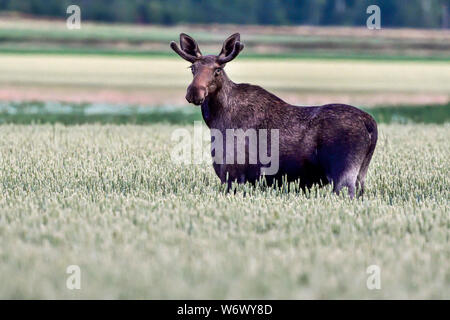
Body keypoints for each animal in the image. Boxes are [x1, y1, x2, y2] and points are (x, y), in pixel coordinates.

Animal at [171, 33, 378, 198]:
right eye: (192, 69)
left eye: (217, 70)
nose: (194, 92)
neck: (215, 121)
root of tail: (370, 124)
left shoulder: (232, 174)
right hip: (361, 175)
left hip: (343, 173)